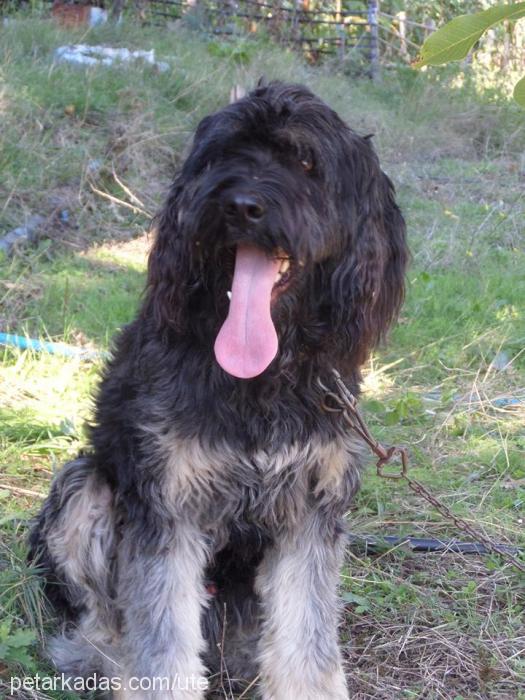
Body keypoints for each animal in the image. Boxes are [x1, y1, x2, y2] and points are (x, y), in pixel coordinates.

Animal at [28, 79, 408, 696]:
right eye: (225, 156)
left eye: (306, 162)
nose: (241, 206)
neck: (261, 380)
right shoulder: (166, 508)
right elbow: (162, 647)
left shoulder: (311, 511)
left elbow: (307, 642)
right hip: (83, 488)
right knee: (100, 621)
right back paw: (101, 660)